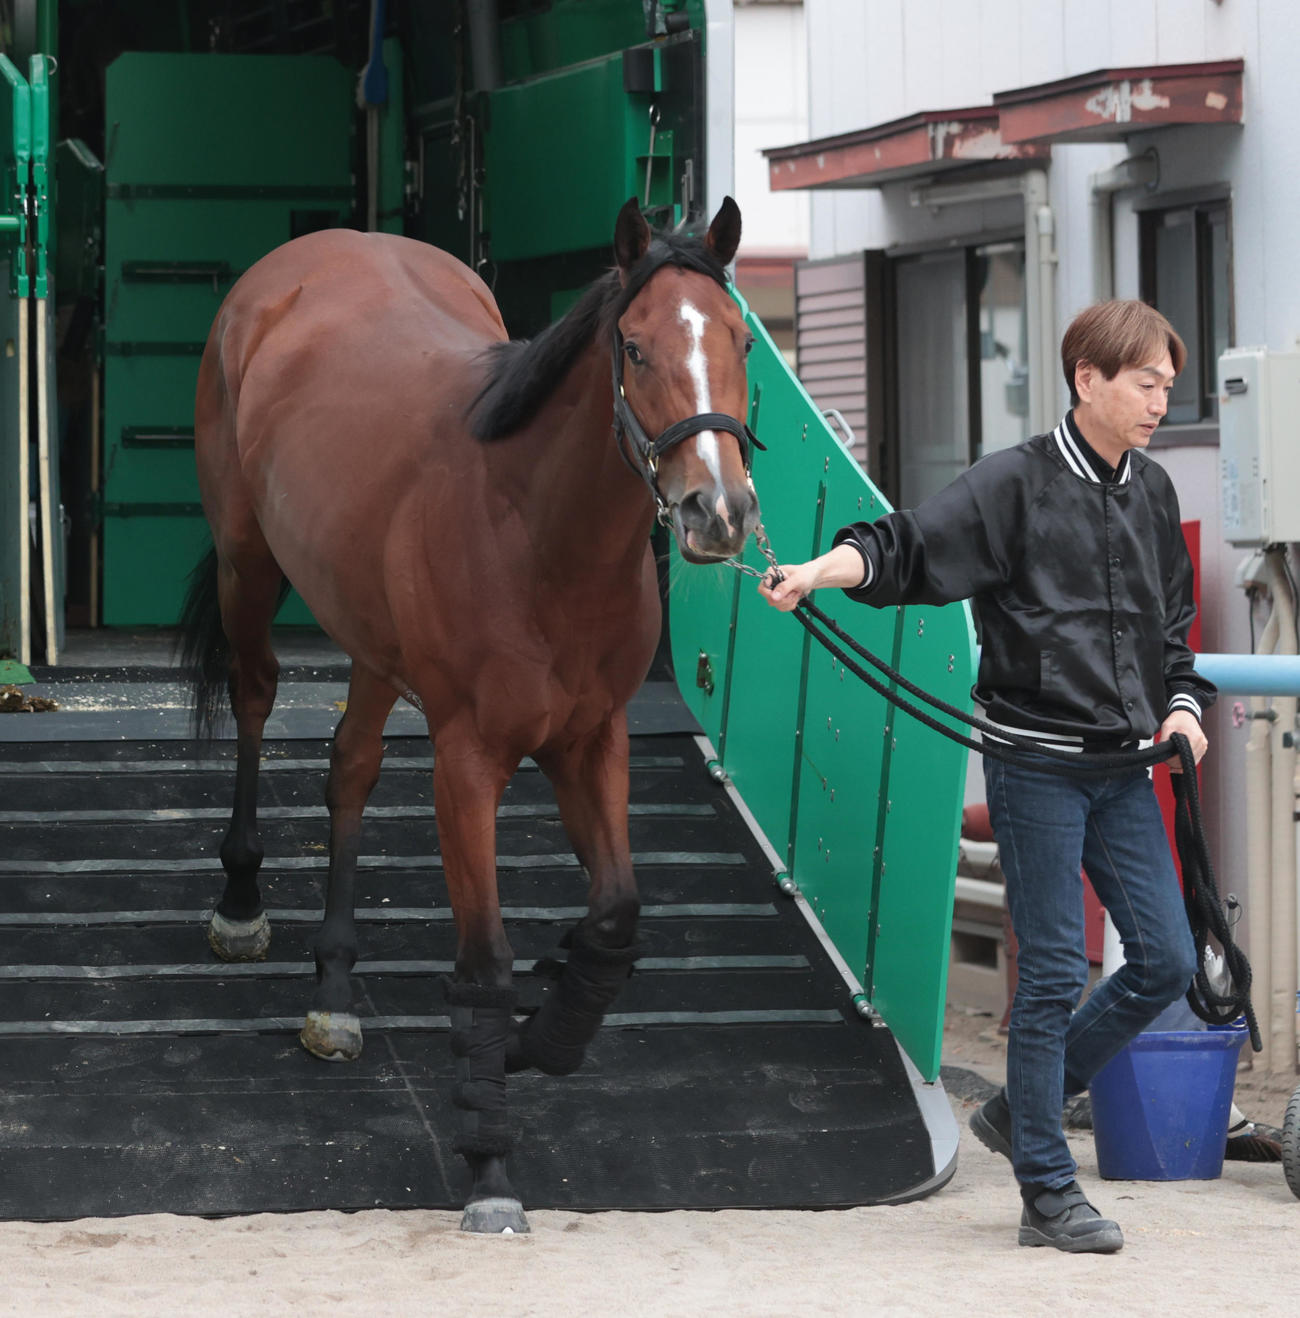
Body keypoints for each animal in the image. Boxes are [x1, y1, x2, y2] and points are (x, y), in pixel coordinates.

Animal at [177, 197, 761, 1233]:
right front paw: (490, 1165)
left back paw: (336, 987)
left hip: (370, 637)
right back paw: (241, 901)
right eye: (636, 347)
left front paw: (542, 1041)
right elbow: (485, 964)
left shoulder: (591, 743)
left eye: (739, 338)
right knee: (255, 698)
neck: (535, 533)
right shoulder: (467, 762)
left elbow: (614, 917)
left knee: (352, 766)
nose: (717, 513)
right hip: (249, 565)